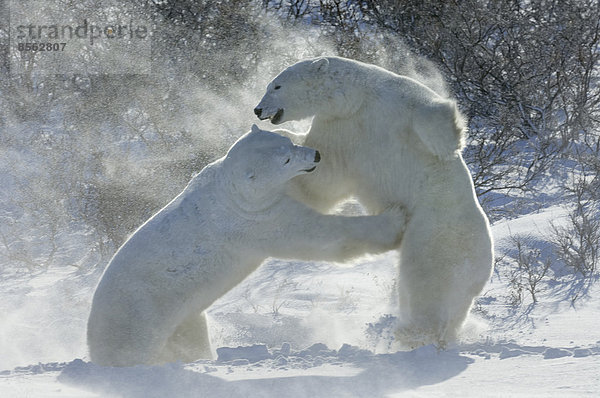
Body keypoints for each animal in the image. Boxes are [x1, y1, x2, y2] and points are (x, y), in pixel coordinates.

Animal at [86, 125, 406, 366]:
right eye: (284, 161)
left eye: (287, 143)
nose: (315, 154)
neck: (230, 190)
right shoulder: (257, 220)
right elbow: (319, 234)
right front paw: (395, 218)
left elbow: (311, 196)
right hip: (138, 319)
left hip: (181, 319)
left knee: (190, 334)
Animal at [255, 56, 494, 348]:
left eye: (276, 85)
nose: (257, 109)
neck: (355, 100)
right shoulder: (340, 129)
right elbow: (324, 176)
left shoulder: (398, 101)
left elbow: (435, 117)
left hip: (438, 234)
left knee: (428, 283)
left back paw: (412, 332)